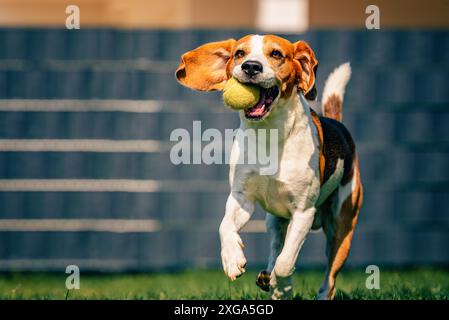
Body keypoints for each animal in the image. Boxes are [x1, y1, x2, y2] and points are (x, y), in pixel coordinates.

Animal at [174, 35, 360, 300]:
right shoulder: (241, 198)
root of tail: (338, 124)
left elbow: (286, 263)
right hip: (274, 220)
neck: (268, 133)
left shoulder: (303, 212)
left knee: (328, 275)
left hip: (342, 225)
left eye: (276, 54)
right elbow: (224, 226)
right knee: (276, 246)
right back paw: (267, 276)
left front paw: (282, 285)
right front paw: (232, 259)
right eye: (240, 53)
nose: (251, 67)